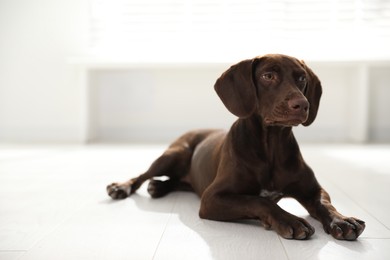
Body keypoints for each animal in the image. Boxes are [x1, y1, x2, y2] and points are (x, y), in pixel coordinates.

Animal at [106, 53, 366, 241]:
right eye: (268, 76)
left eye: (301, 78)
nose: (302, 105)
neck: (271, 147)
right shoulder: (212, 198)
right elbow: (259, 200)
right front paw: (289, 220)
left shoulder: (312, 190)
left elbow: (325, 204)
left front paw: (341, 220)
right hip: (173, 155)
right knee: (142, 175)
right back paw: (122, 187)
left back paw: (159, 187)